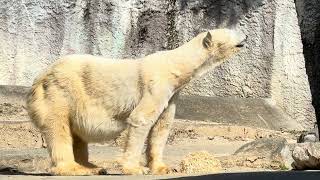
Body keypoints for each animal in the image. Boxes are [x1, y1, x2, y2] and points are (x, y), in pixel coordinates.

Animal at [26, 28, 248, 176]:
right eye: (233, 31)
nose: (246, 36)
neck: (176, 66)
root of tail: (38, 77)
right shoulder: (156, 85)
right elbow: (141, 119)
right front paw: (136, 168)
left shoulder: (171, 94)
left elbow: (162, 127)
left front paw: (162, 167)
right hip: (60, 92)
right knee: (58, 127)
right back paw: (76, 168)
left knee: (77, 134)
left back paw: (94, 167)